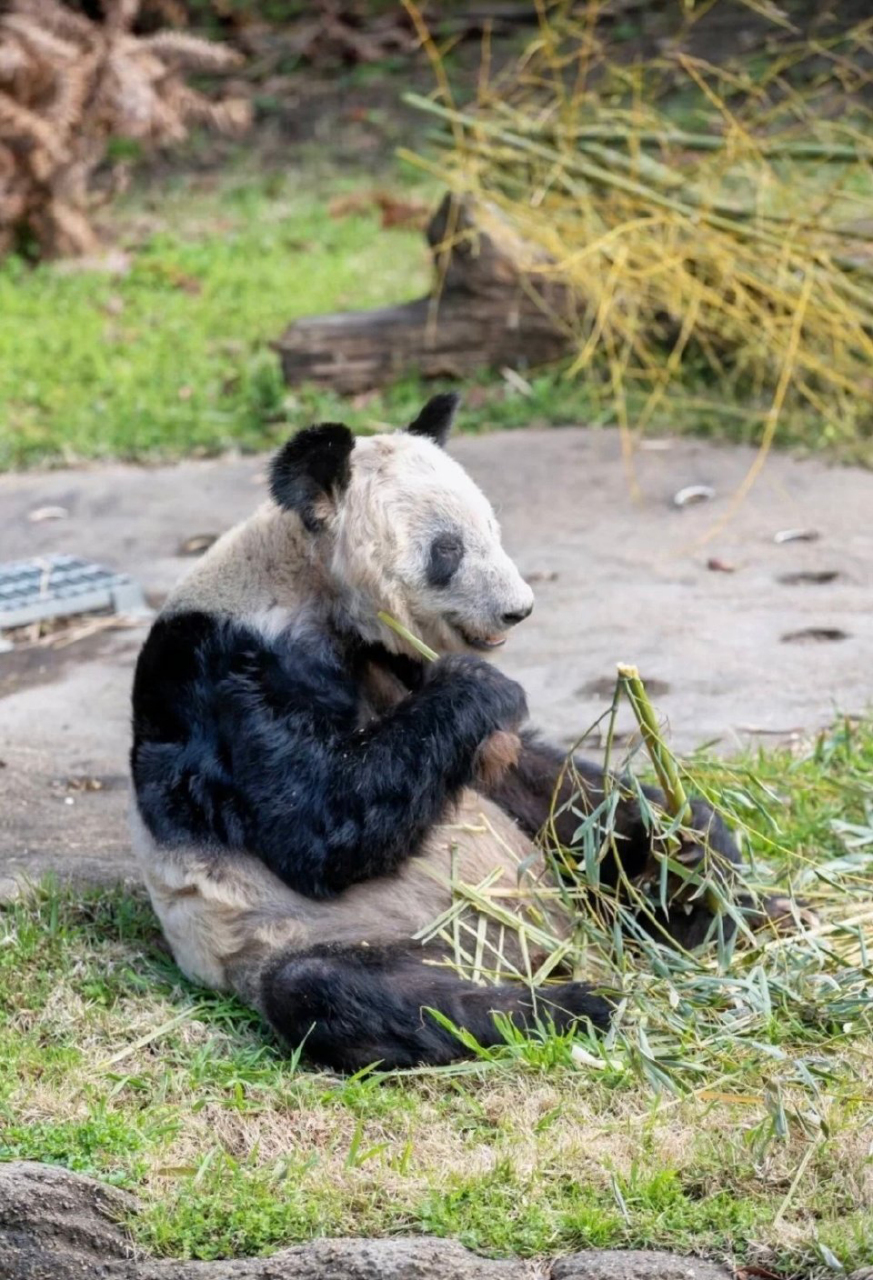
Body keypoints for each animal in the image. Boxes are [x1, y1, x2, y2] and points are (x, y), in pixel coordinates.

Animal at [131, 394, 742, 1075]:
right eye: (447, 550)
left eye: (493, 529)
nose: (518, 609)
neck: (308, 582)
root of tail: (546, 951)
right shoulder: (220, 676)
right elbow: (313, 820)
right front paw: (481, 684)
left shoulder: (391, 663)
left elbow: (519, 774)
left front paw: (686, 835)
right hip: (306, 935)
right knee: (347, 992)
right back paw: (574, 1005)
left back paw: (694, 900)